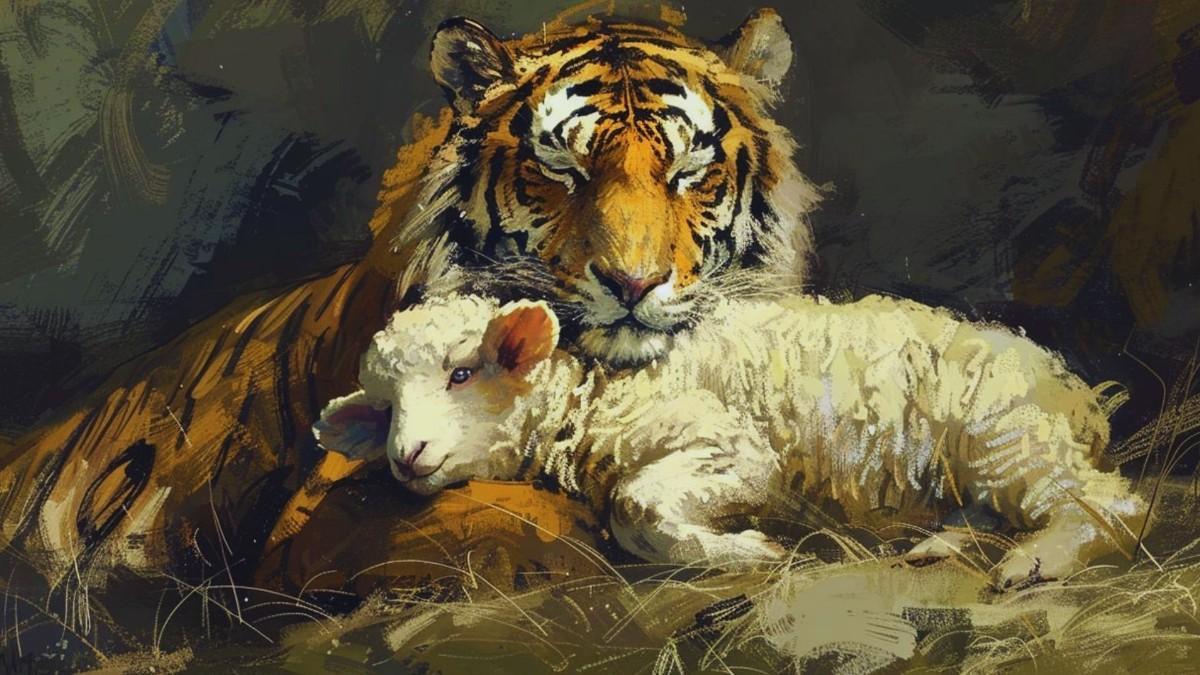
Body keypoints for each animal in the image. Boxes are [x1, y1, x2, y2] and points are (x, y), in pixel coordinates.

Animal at [314, 293, 1149, 589]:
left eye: (462, 372)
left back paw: (1034, 561)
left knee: (1112, 505)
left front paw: (746, 550)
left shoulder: (734, 448)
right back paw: (942, 542)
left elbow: (635, 508)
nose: (406, 456)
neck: (600, 397)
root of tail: (1079, 395)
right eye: (383, 407)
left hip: (1004, 433)